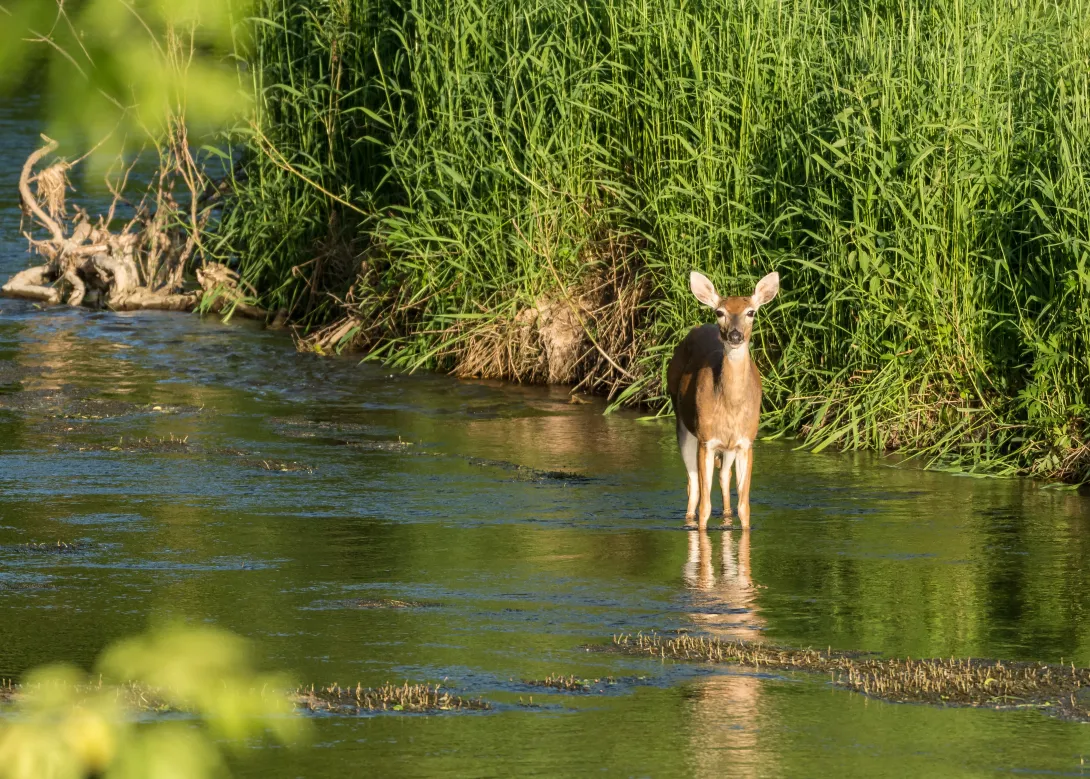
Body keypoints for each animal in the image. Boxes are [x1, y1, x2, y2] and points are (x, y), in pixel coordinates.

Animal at [667, 270, 780, 528]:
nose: (735, 335)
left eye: (751, 312)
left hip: (728, 448)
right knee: (693, 487)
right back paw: (689, 520)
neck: (731, 406)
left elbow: (745, 508)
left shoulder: (746, 441)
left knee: (724, 478)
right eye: (720, 312)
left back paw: (726, 518)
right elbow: (705, 507)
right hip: (683, 425)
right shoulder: (706, 440)